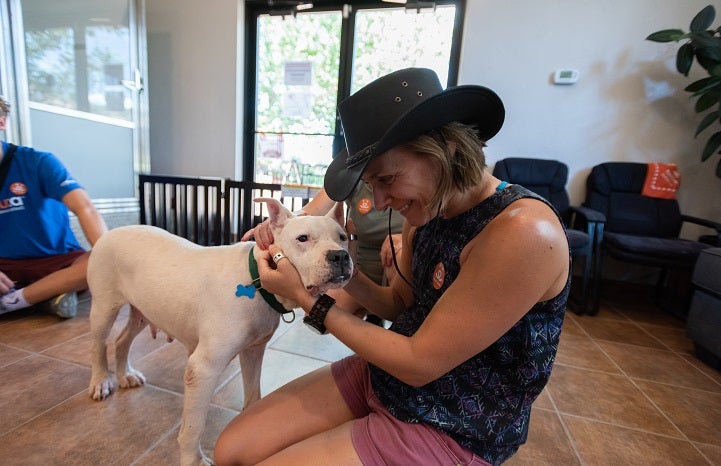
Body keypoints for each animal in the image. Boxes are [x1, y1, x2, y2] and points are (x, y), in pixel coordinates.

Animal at [86, 198, 352, 466]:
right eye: (302, 238)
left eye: (342, 237)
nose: (340, 255)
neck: (256, 280)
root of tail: (112, 232)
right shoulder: (203, 369)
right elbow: (192, 428)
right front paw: (192, 460)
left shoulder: (253, 352)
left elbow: (253, 394)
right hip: (103, 309)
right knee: (98, 345)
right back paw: (101, 382)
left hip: (142, 310)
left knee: (121, 341)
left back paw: (125, 375)